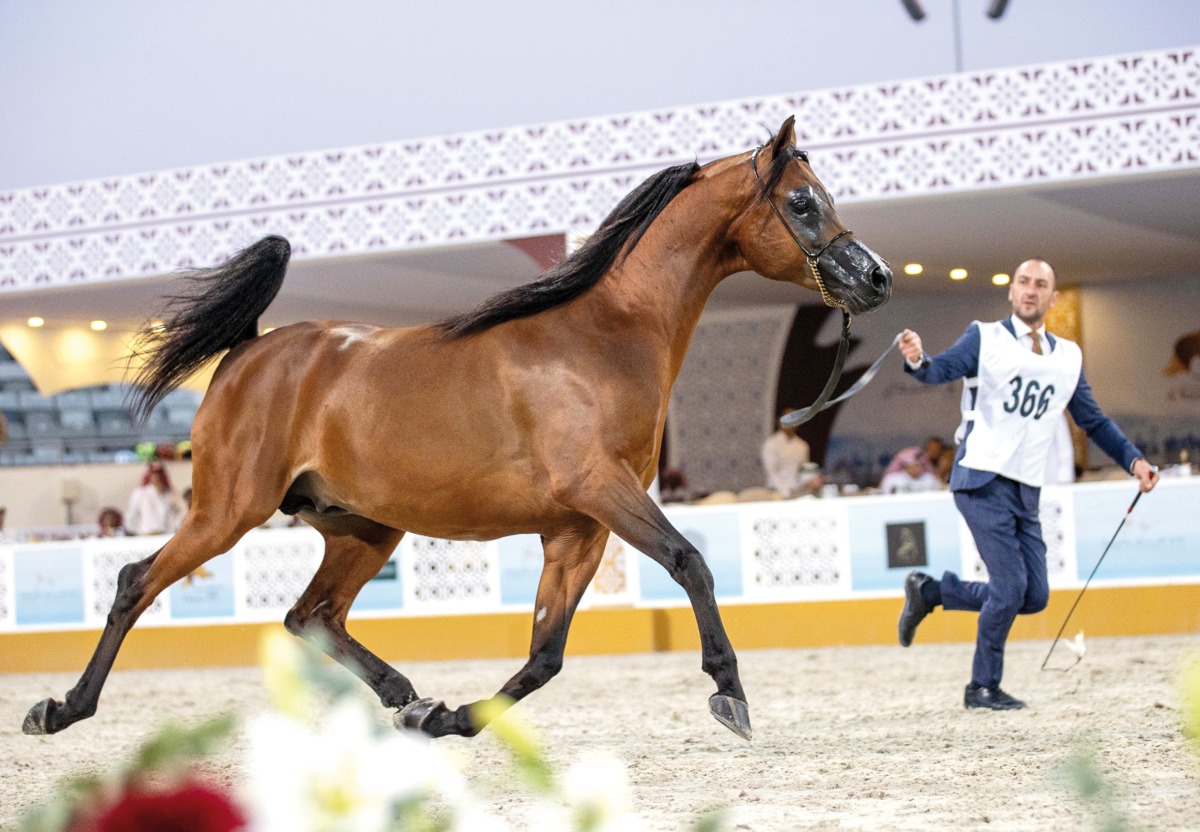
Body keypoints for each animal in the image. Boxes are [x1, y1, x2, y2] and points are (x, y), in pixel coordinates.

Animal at [23, 116, 892, 742]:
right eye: (803, 202)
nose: (876, 277)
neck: (603, 335)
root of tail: (251, 350)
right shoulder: (601, 491)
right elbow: (690, 563)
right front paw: (729, 693)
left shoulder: (578, 529)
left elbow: (545, 654)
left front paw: (452, 719)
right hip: (226, 511)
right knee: (136, 583)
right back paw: (61, 709)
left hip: (363, 528)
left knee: (311, 616)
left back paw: (408, 699)